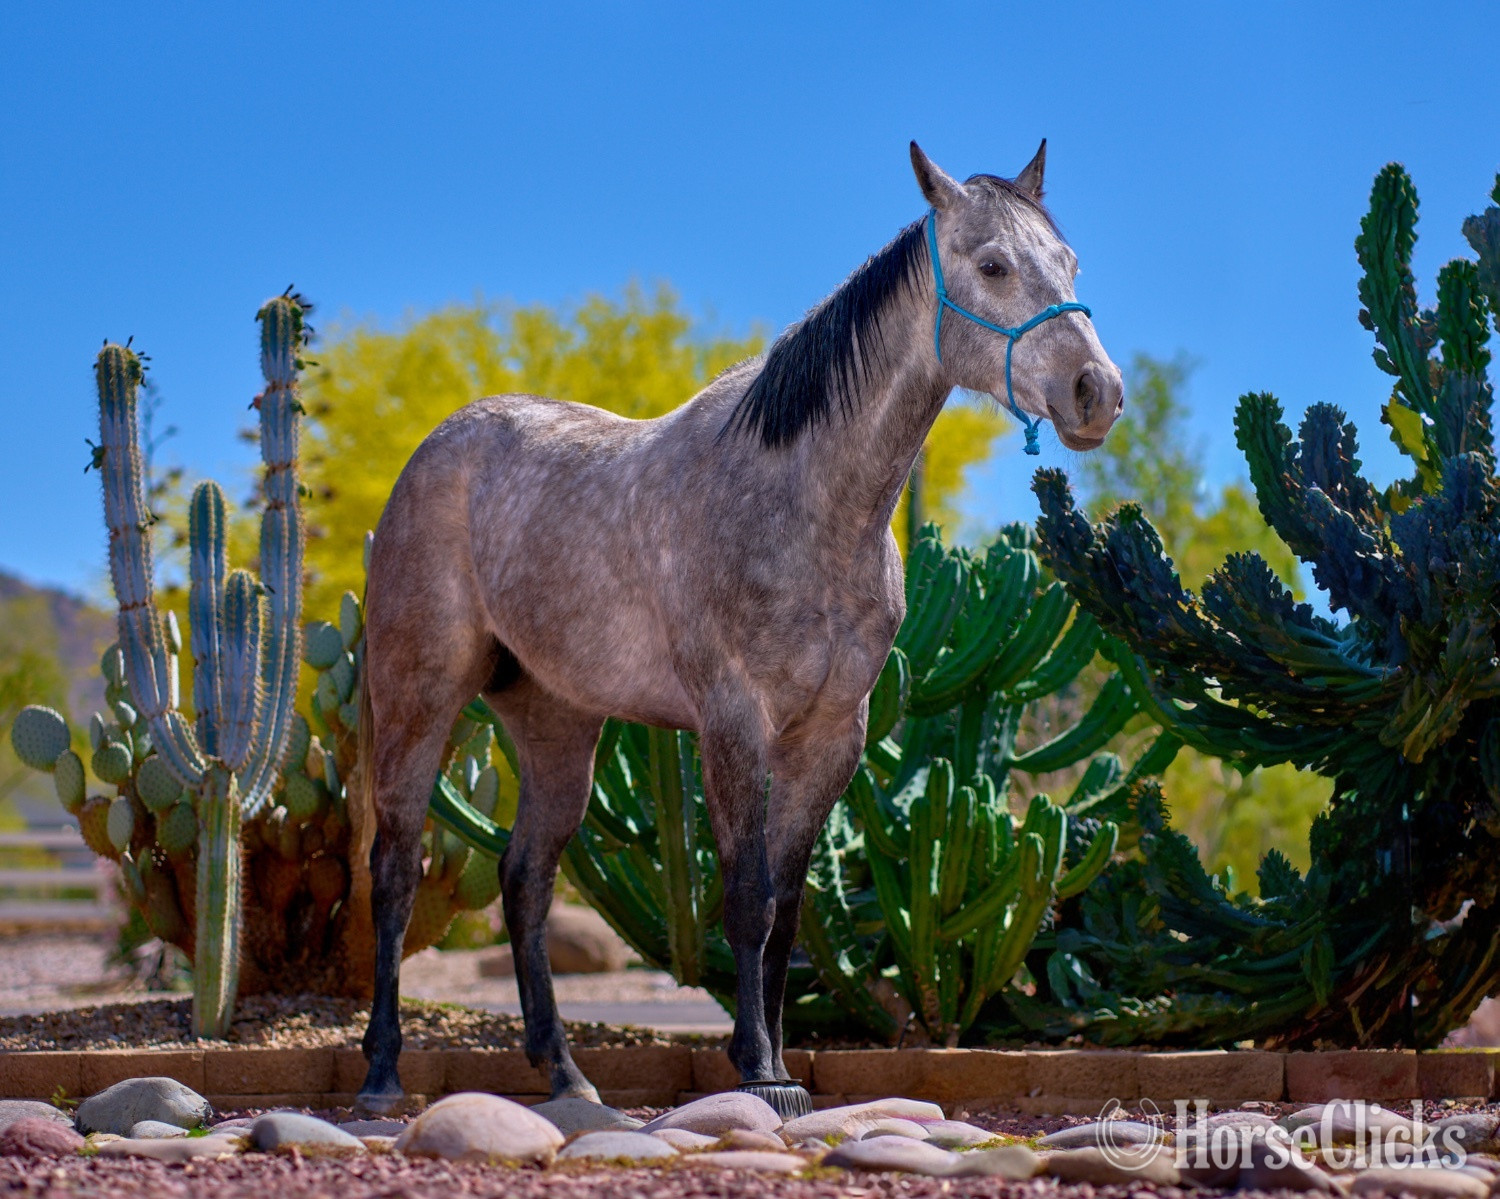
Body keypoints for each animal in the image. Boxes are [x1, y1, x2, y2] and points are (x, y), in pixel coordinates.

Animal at [356, 140, 1123, 1116]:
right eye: (991, 265)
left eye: (1070, 264)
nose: (1096, 393)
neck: (806, 501)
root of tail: (433, 451)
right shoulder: (732, 722)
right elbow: (748, 896)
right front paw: (760, 1071)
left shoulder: (830, 735)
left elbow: (789, 910)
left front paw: (779, 1062)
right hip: (419, 696)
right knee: (394, 867)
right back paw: (382, 1073)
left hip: (557, 722)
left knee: (525, 880)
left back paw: (566, 1073)